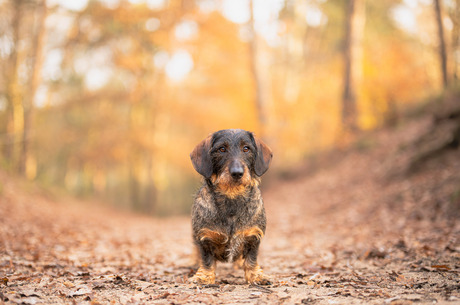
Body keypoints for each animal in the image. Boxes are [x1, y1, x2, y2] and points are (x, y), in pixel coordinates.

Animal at [188, 127, 272, 284]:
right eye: (222, 149)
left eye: (246, 148)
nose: (237, 173)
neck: (232, 197)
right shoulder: (204, 237)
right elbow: (206, 260)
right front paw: (204, 277)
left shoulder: (253, 236)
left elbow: (251, 259)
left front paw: (256, 276)